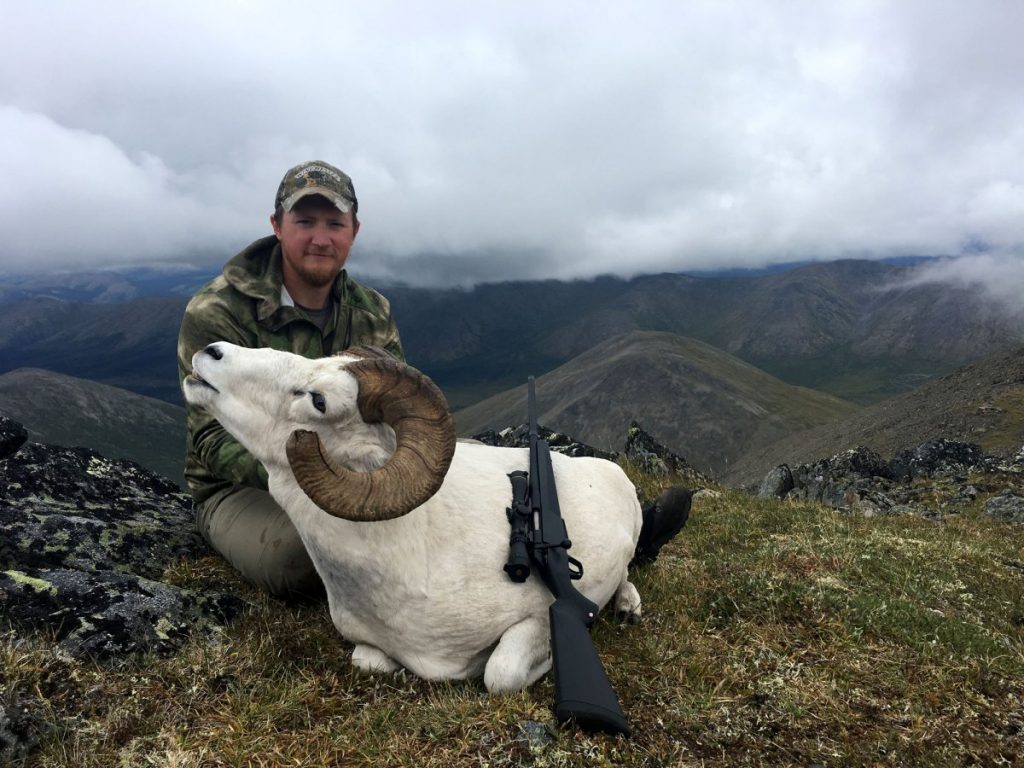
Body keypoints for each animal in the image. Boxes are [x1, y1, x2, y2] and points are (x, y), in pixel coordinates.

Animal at [183, 341, 643, 692]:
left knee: (625, 575)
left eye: (319, 400)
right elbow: (368, 661)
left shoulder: (537, 618)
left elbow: (500, 674)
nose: (211, 352)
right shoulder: (370, 647)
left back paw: (627, 606)